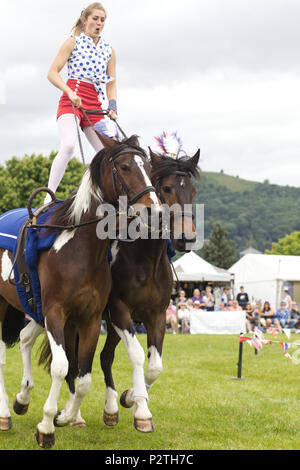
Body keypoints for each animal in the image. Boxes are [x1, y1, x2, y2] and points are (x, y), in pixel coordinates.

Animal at [99, 147, 202, 434]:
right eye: (166, 188)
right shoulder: (120, 311)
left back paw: (111, 408)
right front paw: (141, 410)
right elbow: (136, 357)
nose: (187, 238)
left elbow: (155, 366)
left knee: (105, 356)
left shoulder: (155, 315)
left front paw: (131, 397)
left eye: (193, 191)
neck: (145, 257)